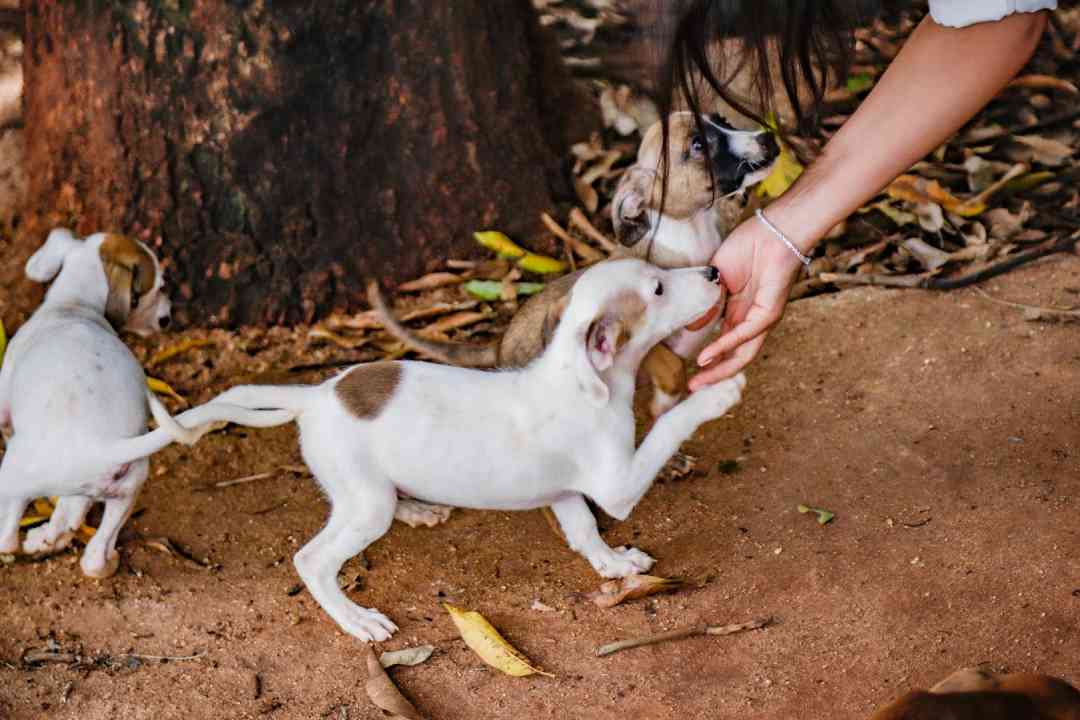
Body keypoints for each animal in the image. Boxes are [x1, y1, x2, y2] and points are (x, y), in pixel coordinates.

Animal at [207, 259, 747, 643]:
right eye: (657, 289)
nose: (714, 272)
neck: (585, 380)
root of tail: (316, 395)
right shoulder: (617, 486)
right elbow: (667, 427)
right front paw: (717, 395)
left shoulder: (564, 490)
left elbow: (584, 532)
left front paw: (612, 564)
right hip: (364, 507)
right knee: (313, 560)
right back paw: (355, 618)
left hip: (366, 494)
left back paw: (419, 510)